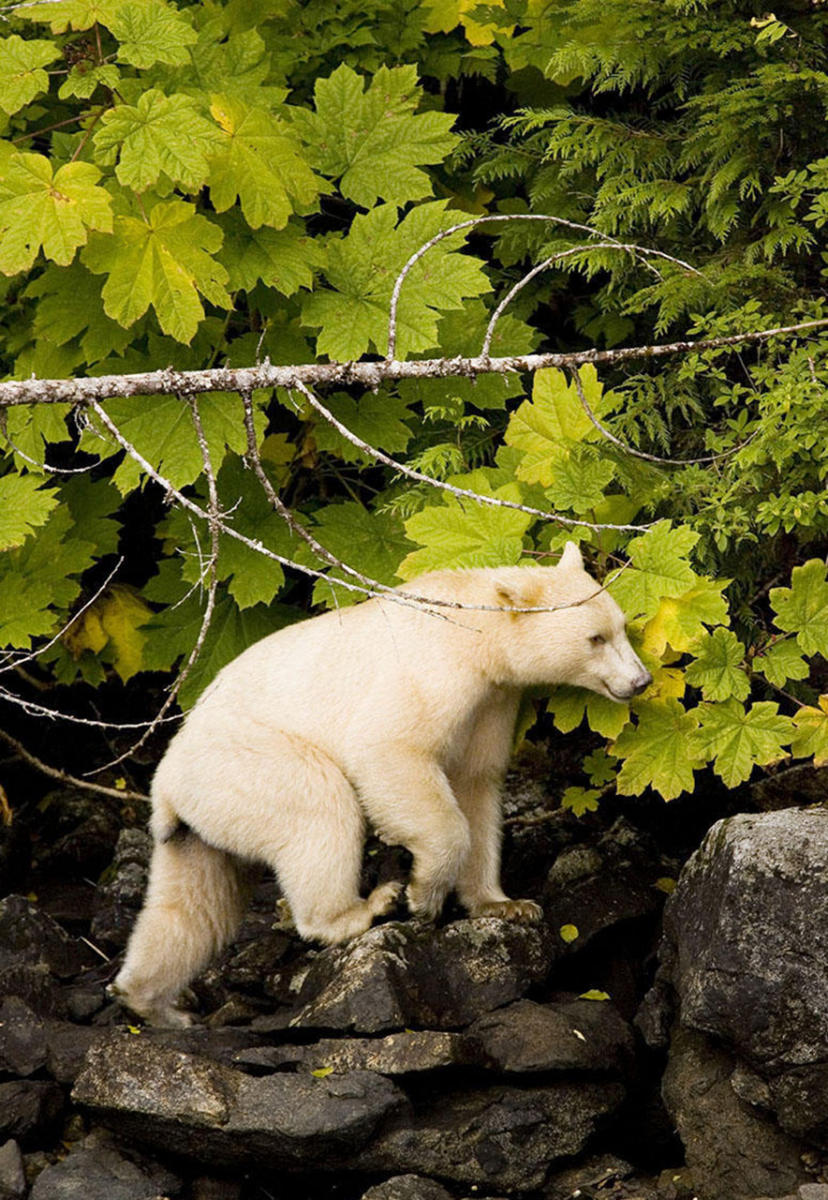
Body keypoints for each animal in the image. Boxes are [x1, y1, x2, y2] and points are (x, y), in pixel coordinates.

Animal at [112, 544, 648, 1022]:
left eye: (622, 626)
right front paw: (422, 893)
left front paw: (507, 904)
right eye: (595, 638)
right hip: (247, 761)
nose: (640, 681)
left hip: (204, 815)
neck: (476, 635)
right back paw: (362, 910)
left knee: (195, 906)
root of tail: (165, 783)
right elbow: (390, 751)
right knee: (320, 805)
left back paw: (151, 1000)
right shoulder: (433, 673)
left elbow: (477, 785)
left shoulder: (492, 703)